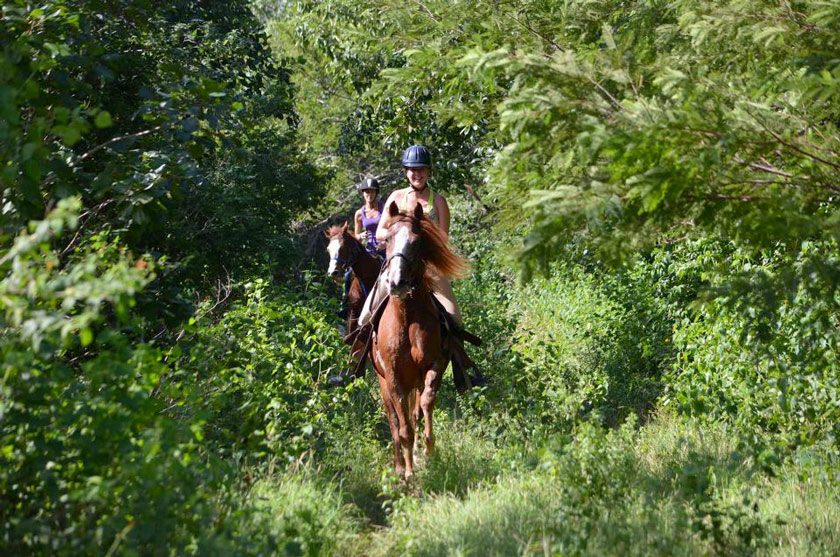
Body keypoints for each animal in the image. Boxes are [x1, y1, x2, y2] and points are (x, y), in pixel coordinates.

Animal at [324, 224, 384, 376]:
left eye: (343, 247)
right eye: (328, 249)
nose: (333, 272)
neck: (368, 278)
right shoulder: (354, 312)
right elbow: (349, 339)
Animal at [372, 202, 470, 480]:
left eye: (416, 242)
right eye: (387, 239)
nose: (397, 283)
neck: (406, 319)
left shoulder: (434, 364)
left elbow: (425, 404)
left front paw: (428, 449)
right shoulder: (393, 378)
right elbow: (402, 426)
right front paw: (408, 471)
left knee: (414, 411)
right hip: (384, 384)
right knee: (394, 420)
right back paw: (399, 465)